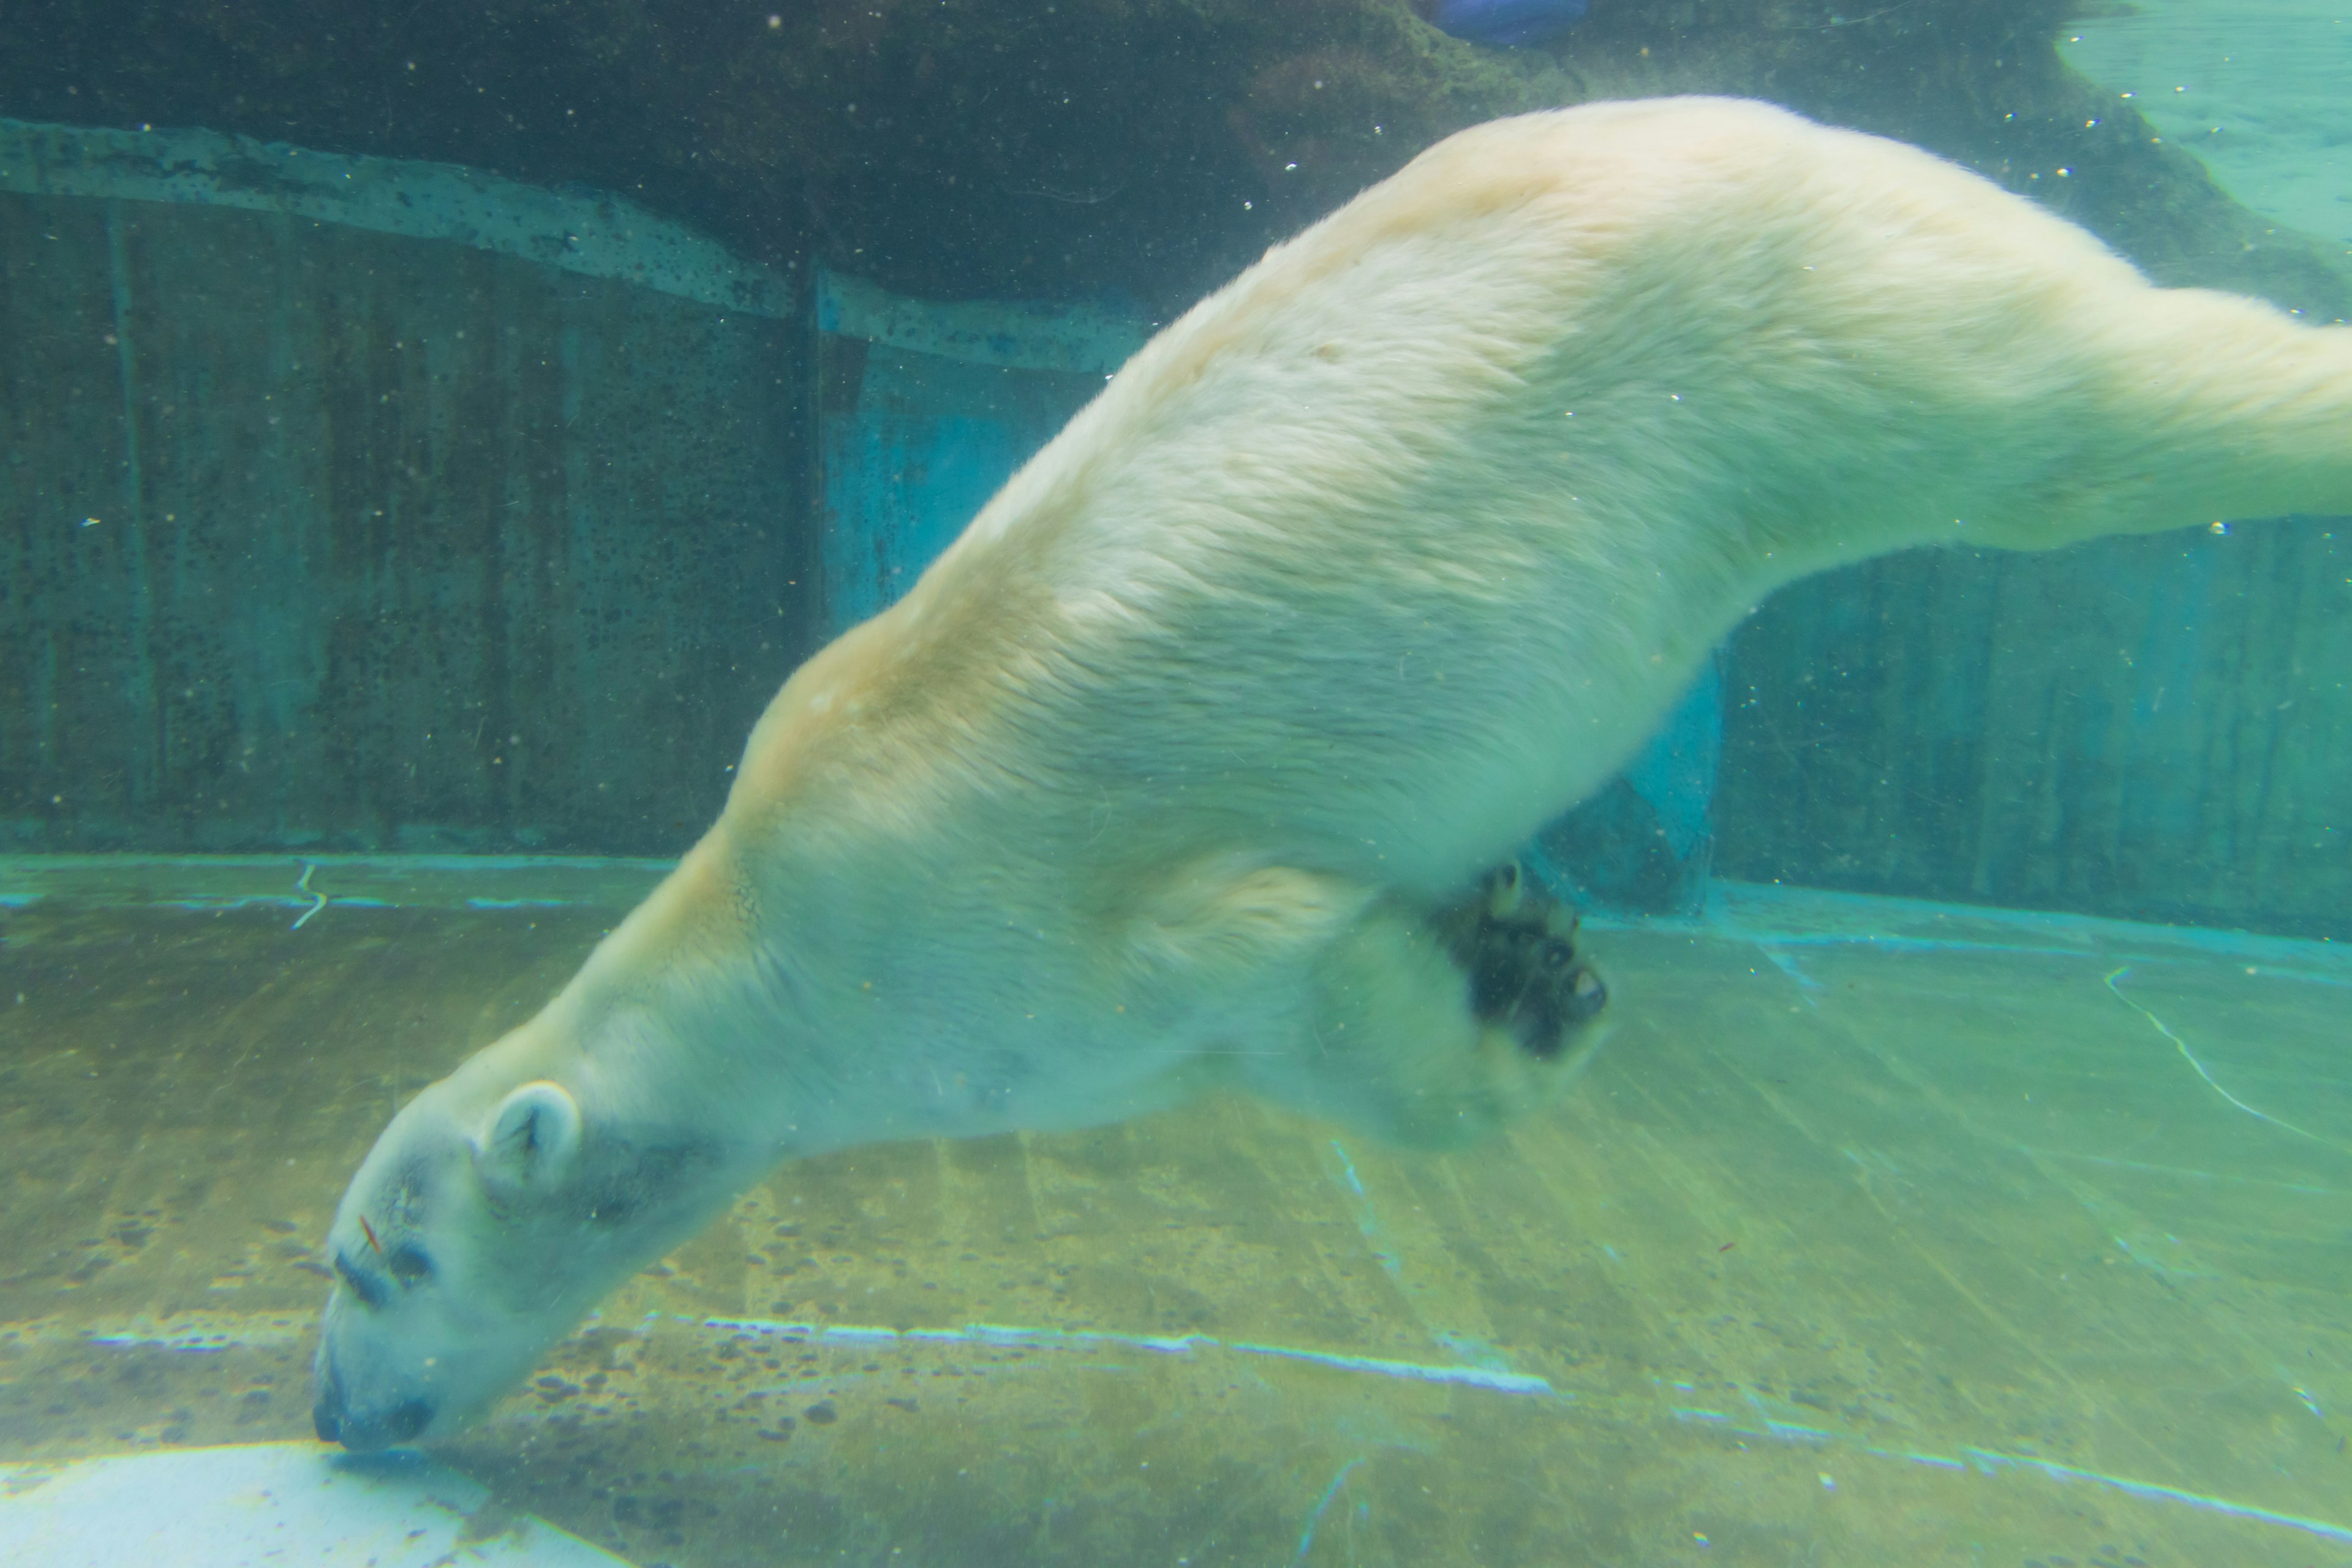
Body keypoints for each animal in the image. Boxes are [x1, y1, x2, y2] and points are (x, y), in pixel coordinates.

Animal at [308, 95, 2352, 1448]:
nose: (334, 1413)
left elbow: (1290, 974)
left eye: (374, 1268)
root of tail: (1787, 121)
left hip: (1825, 328)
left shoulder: (1021, 952)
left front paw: (1534, 1006)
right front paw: (1524, 928)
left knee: (2087, 415)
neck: (767, 937)